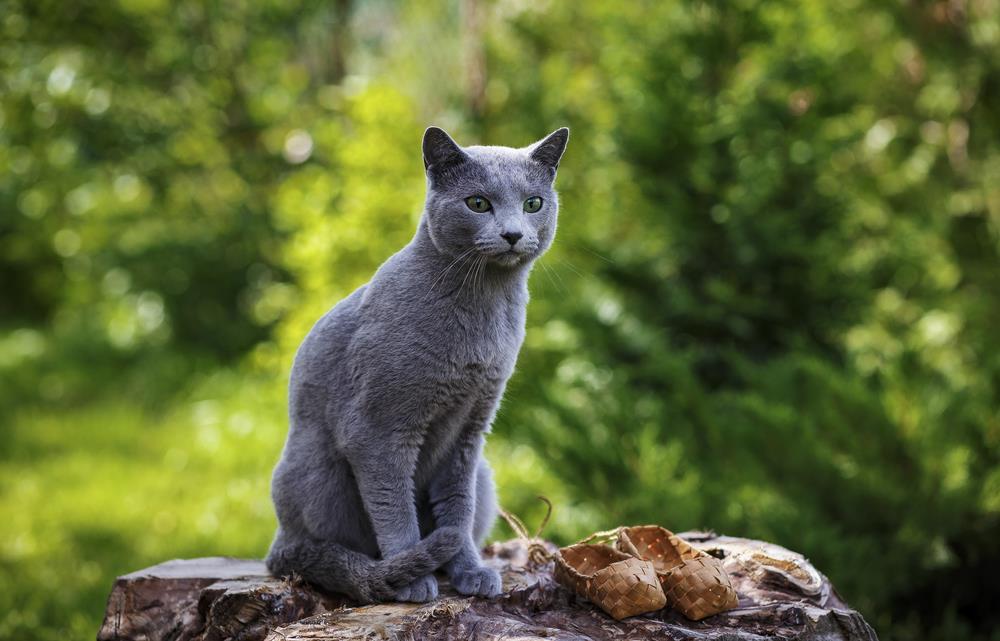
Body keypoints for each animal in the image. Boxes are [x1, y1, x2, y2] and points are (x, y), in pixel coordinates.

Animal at [264, 124, 572, 600]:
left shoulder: (470, 431)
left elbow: (458, 509)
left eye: (533, 204)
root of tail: (279, 542)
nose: (513, 233)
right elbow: (394, 508)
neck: (484, 307)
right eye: (478, 203)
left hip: (485, 474)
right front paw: (412, 579)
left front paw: (469, 571)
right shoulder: (376, 430)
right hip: (317, 466)